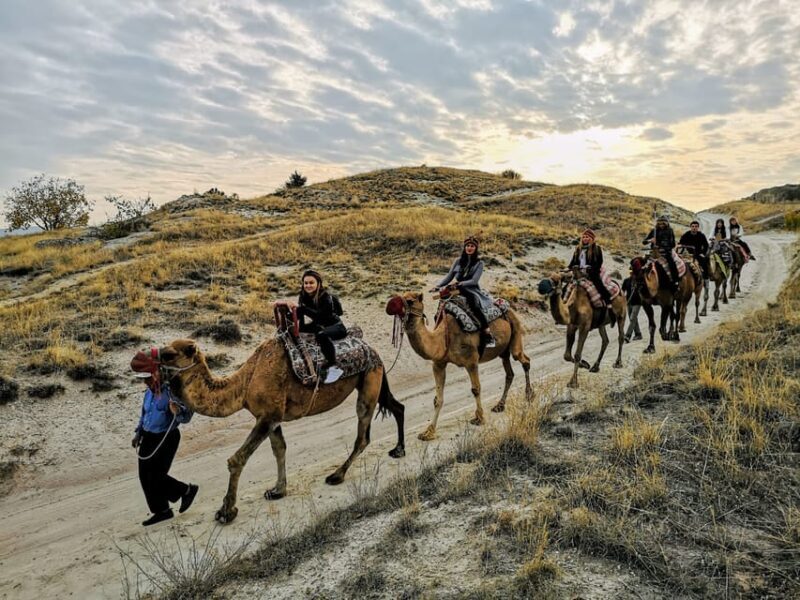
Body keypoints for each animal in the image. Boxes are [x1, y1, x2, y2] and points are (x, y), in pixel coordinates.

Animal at [149, 338, 405, 524]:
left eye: (168, 354)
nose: (149, 373)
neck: (245, 383)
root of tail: (373, 350)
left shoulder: (268, 415)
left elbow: (237, 459)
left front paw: (226, 511)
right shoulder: (270, 416)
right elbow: (279, 448)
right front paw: (277, 490)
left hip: (370, 379)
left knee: (362, 435)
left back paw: (336, 475)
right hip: (374, 379)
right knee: (397, 407)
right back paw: (398, 450)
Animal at [385, 292, 531, 441]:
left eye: (409, 301)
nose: (389, 306)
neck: (443, 338)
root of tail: (507, 305)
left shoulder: (471, 361)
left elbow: (476, 389)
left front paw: (479, 418)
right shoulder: (438, 364)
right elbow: (438, 399)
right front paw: (428, 432)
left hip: (515, 332)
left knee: (524, 360)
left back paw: (529, 394)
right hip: (503, 351)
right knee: (509, 373)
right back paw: (499, 406)